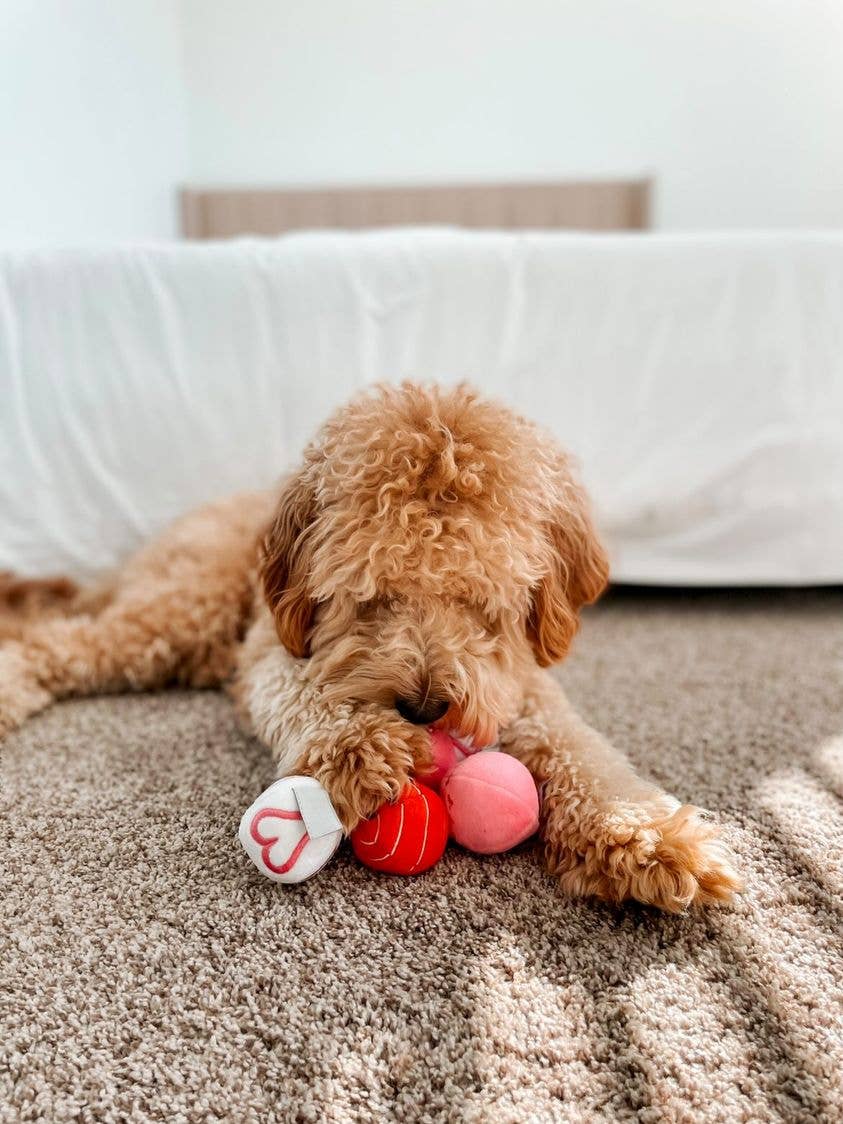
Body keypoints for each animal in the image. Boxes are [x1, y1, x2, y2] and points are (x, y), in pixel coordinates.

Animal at [0, 382, 737, 908]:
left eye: (480, 602)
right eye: (372, 593)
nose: (423, 708)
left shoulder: (524, 683)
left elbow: (579, 750)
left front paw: (644, 838)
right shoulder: (274, 651)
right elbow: (306, 693)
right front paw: (359, 747)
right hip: (182, 610)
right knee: (57, 643)